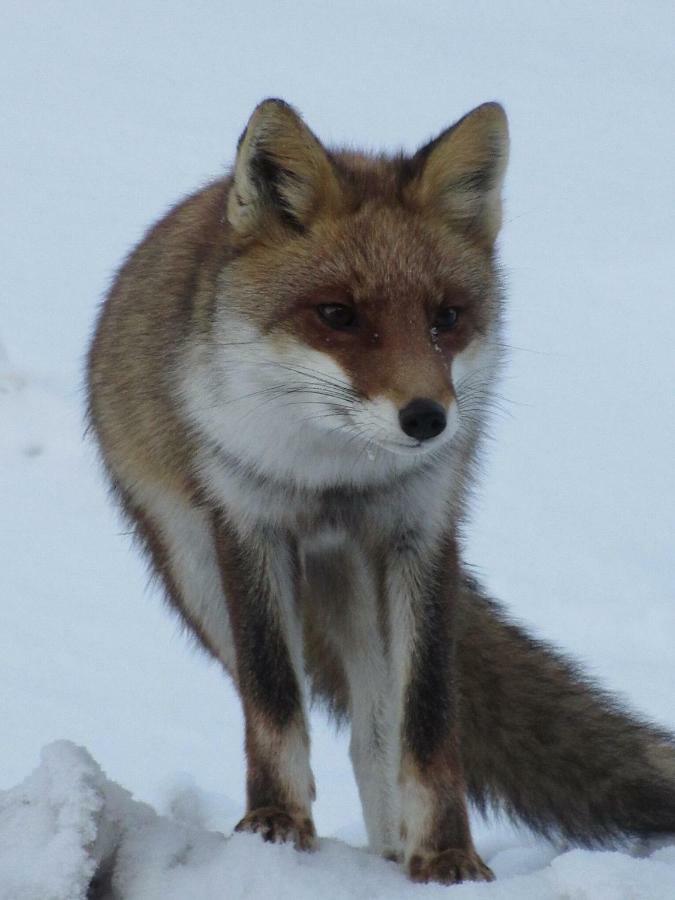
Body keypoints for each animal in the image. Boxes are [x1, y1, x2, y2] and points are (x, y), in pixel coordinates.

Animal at [87, 100, 675, 884]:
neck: (338, 476)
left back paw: (393, 852)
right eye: (338, 314)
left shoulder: (419, 531)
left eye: (445, 317)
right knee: (273, 696)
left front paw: (447, 857)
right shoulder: (249, 524)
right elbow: (275, 701)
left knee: (373, 735)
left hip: (357, 586)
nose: (427, 418)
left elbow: (424, 724)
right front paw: (276, 826)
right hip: (200, 575)